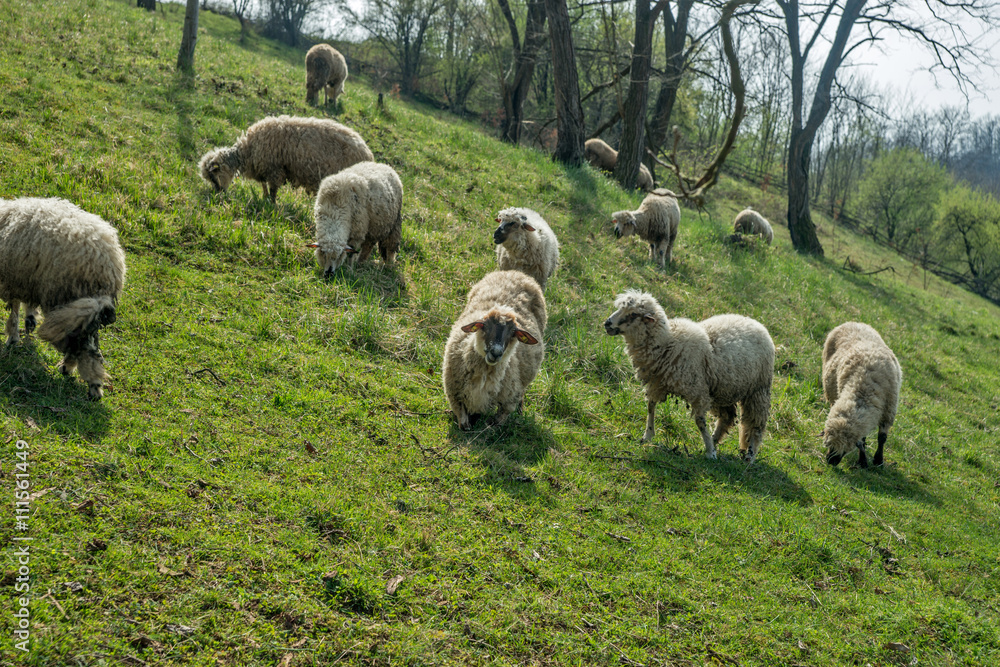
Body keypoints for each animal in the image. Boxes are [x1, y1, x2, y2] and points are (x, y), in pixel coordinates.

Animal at [0, 198, 126, 400]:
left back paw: (88, 383)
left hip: (64, 294)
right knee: (89, 346)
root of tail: (108, 266)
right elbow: (26, 306)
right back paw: (79, 374)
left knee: (84, 348)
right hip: (85, 310)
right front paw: (29, 321)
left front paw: (12, 339)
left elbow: (13, 311)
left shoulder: (12, 281)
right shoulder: (29, 279)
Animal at [198, 115, 374, 203]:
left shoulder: (274, 169)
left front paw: (272, 204)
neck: (246, 151)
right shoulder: (264, 170)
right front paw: (264, 199)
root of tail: (368, 154)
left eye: (213, 176)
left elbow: (273, 190)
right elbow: (264, 187)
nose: (218, 194)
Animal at [442, 270, 547, 430]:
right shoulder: (454, 393)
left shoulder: (509, 401)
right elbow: (464, 424)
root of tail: (517, 273)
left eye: (513, 333)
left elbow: (495, 424)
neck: (485, 372)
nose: (496, 353)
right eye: (484, 326)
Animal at [604, 290, 774, 462]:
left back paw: (749, 455)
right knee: (727, 417)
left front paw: (710, 453)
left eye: (633, 314)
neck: (667, 343)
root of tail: (756, 323)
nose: (607, 324)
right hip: (724, 389)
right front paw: (647, 436)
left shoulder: (697, 391)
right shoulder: (657, 383)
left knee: (756, 425)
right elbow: (650, 407)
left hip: (758, 390)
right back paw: (714, 439)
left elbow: (700, 422)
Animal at [821, 322, 902, 468]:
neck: (864, 387)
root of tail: (852, 322)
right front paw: (863, 460)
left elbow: (882, 438)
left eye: (846, 447)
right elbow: (863, 439)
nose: (830, 461)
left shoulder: (888, 412)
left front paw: (878, 460)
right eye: (829, 443)